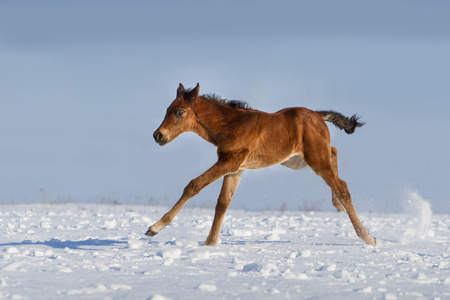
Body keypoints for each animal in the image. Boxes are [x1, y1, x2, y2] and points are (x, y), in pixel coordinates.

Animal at [147, 82, 376, 246]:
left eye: (179, 112)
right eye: (167, 109)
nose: (158, 135)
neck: (230, 125)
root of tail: (317, 115)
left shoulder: (229, 161)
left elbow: (194, 185)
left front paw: (155, 228)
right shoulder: (234, 168)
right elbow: (222, 204)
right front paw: (209, 244)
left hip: (314, 158)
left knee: (341, 186)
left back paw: (368, 237)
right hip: (298, 160)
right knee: (335, 155)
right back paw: (338, 204)